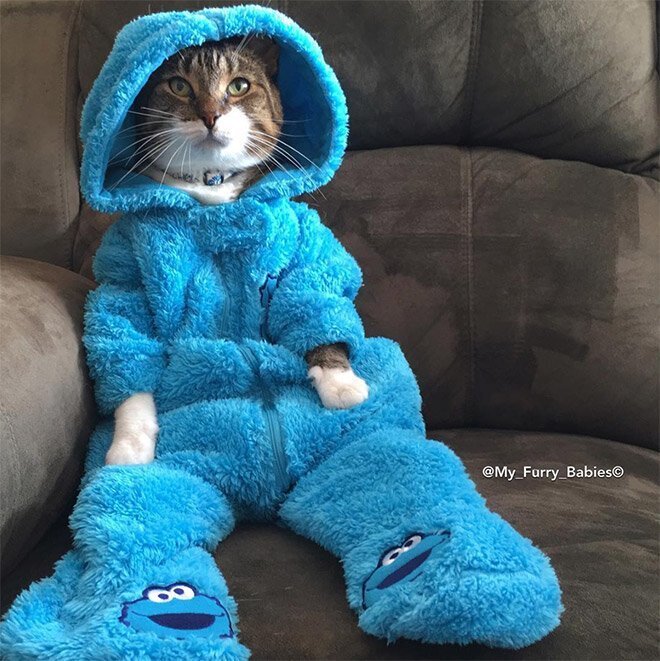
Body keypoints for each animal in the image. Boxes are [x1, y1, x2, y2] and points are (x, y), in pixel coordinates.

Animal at [105, 36, 368, 464]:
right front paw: (129, 444)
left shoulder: (305, 247)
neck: (213, 188)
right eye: (178, 85)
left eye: (239, 85)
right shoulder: (125, 261)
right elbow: (127, 335)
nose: (210, 115)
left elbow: (314, 295)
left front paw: (341, 382)